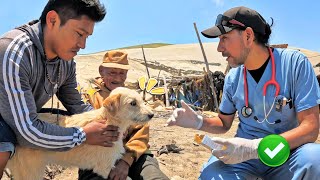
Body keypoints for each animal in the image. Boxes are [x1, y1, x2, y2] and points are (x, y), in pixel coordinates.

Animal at [5, 87, 154, 179]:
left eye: (141, 101)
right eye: (133, 103)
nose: (152, 115)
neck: (108, 120)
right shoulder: (104, 168)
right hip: (30, 171)